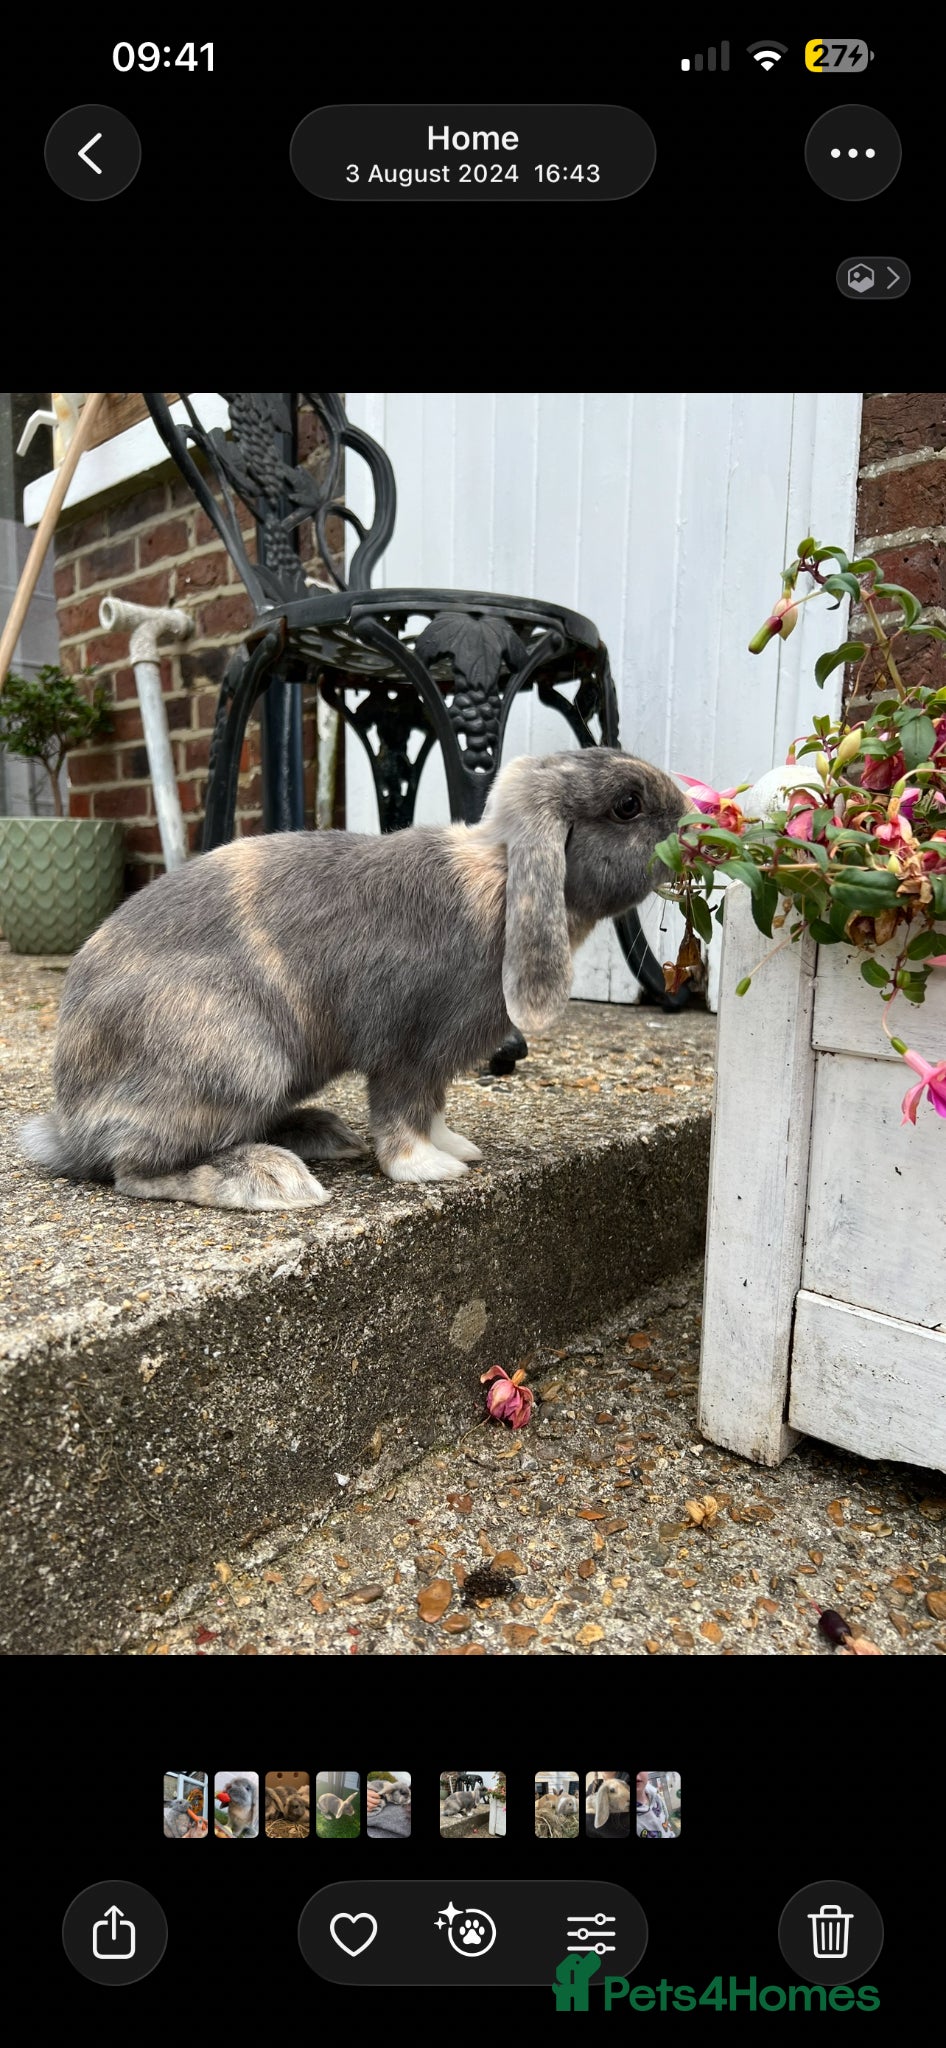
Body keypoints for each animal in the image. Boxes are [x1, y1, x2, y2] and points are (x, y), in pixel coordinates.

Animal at [20, 748, 684, 1211]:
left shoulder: (435, 1063)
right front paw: (427, 1168)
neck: (500, 880)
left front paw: (455, 1148)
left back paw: (321, 1134)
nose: (691, 814)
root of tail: (71, 1124)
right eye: (628, 804)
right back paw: (268, 1180)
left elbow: (433, 1108)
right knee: (134, 1170)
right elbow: (401, 1113)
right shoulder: (407, 1050)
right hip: (238, 1060)